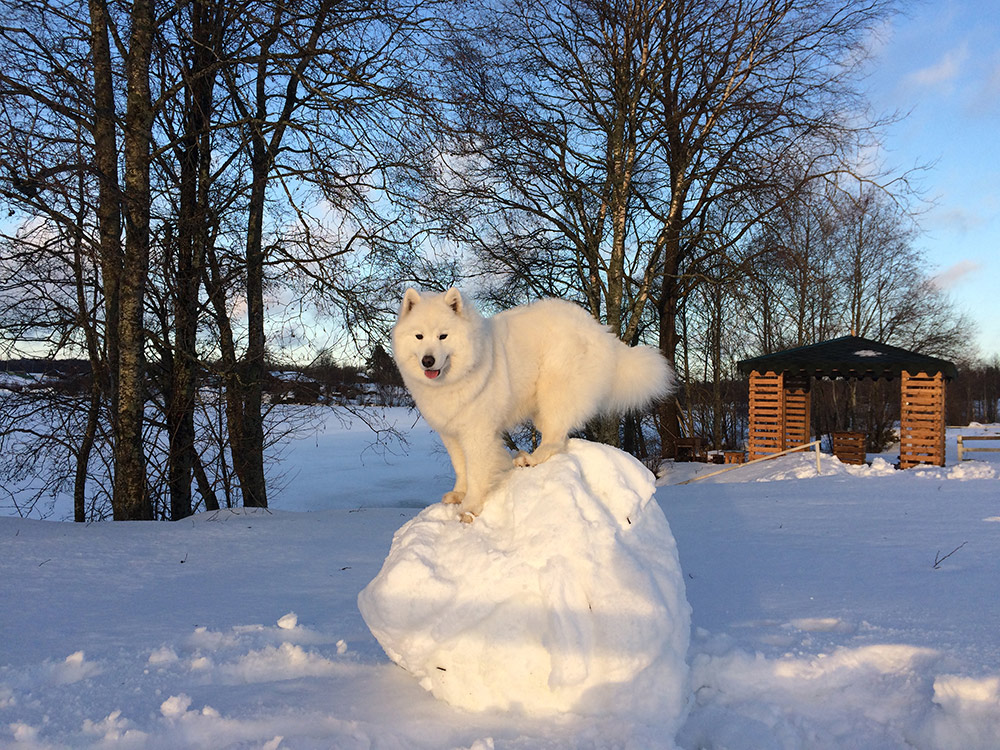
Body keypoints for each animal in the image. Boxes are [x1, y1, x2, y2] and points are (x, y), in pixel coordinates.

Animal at [390, 288, 672, 524]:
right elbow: (461, 467)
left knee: (556, 438)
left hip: (553, 391)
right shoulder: (451, 433)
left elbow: (476, 472)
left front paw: (470, 508)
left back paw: (531, 458)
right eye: (419, 336)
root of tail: (600, 330)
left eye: (443, 336)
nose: (428, 360)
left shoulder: (477, 433)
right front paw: (459, 493)